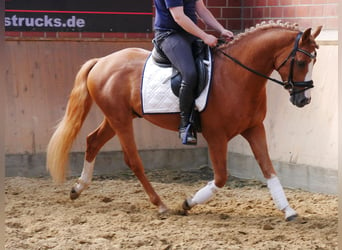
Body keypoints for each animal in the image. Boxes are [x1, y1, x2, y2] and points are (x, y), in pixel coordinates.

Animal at [46, 22, 322, 221]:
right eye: (300, 62)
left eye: (314, 61)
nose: (304, 99)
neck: (236, 76)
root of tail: (101, 62)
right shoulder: (216, 136)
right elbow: (220, 178)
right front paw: (187, 203)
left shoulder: (254, 129)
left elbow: (269, 169)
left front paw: (288, 210)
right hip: (120, 119)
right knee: (132, 160)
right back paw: (160, 205)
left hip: (117, 117)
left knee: (92, 141)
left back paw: (78, 188)